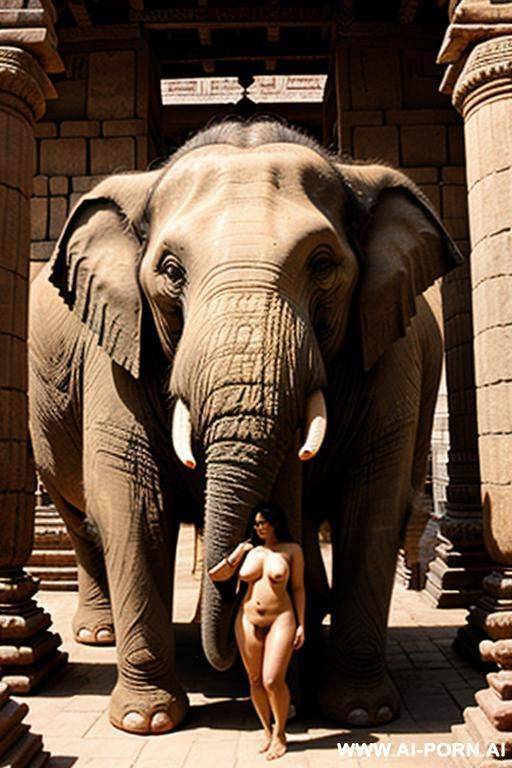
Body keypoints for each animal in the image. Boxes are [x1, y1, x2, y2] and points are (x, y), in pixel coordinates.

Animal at [28, 118, 462, 734]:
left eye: (322, 265)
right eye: (171, 272)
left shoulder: (387, 349)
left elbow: (369, 505)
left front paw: (359, 711)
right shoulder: (115, 350)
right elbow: (133, 501)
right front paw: (145, 721)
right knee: (79, 516)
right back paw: (99, 635)